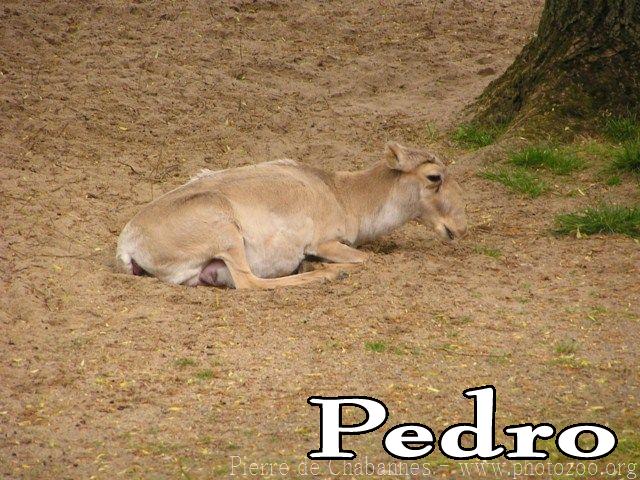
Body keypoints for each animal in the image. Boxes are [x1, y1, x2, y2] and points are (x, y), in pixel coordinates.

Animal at [116, 142, 467, 289]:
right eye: (434, 176)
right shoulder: (325, 241)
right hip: (226, 232)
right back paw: (327, 273)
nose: (460, 227)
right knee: (249, 283)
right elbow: (365, 258)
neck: (342, 194)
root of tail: (127, 244)